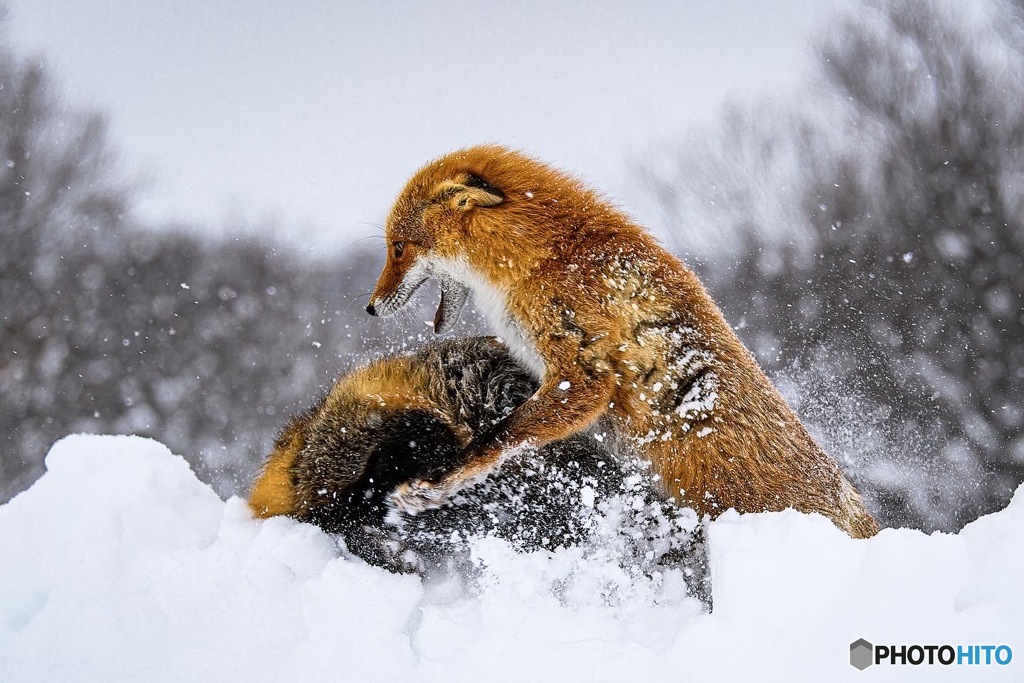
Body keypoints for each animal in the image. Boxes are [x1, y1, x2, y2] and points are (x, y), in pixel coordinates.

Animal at [368, 144, 880, 540]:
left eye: (398, 248)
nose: (370, 308)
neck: (543, 259)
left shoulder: (584, 377)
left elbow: (499, 437)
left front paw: (432, 487)